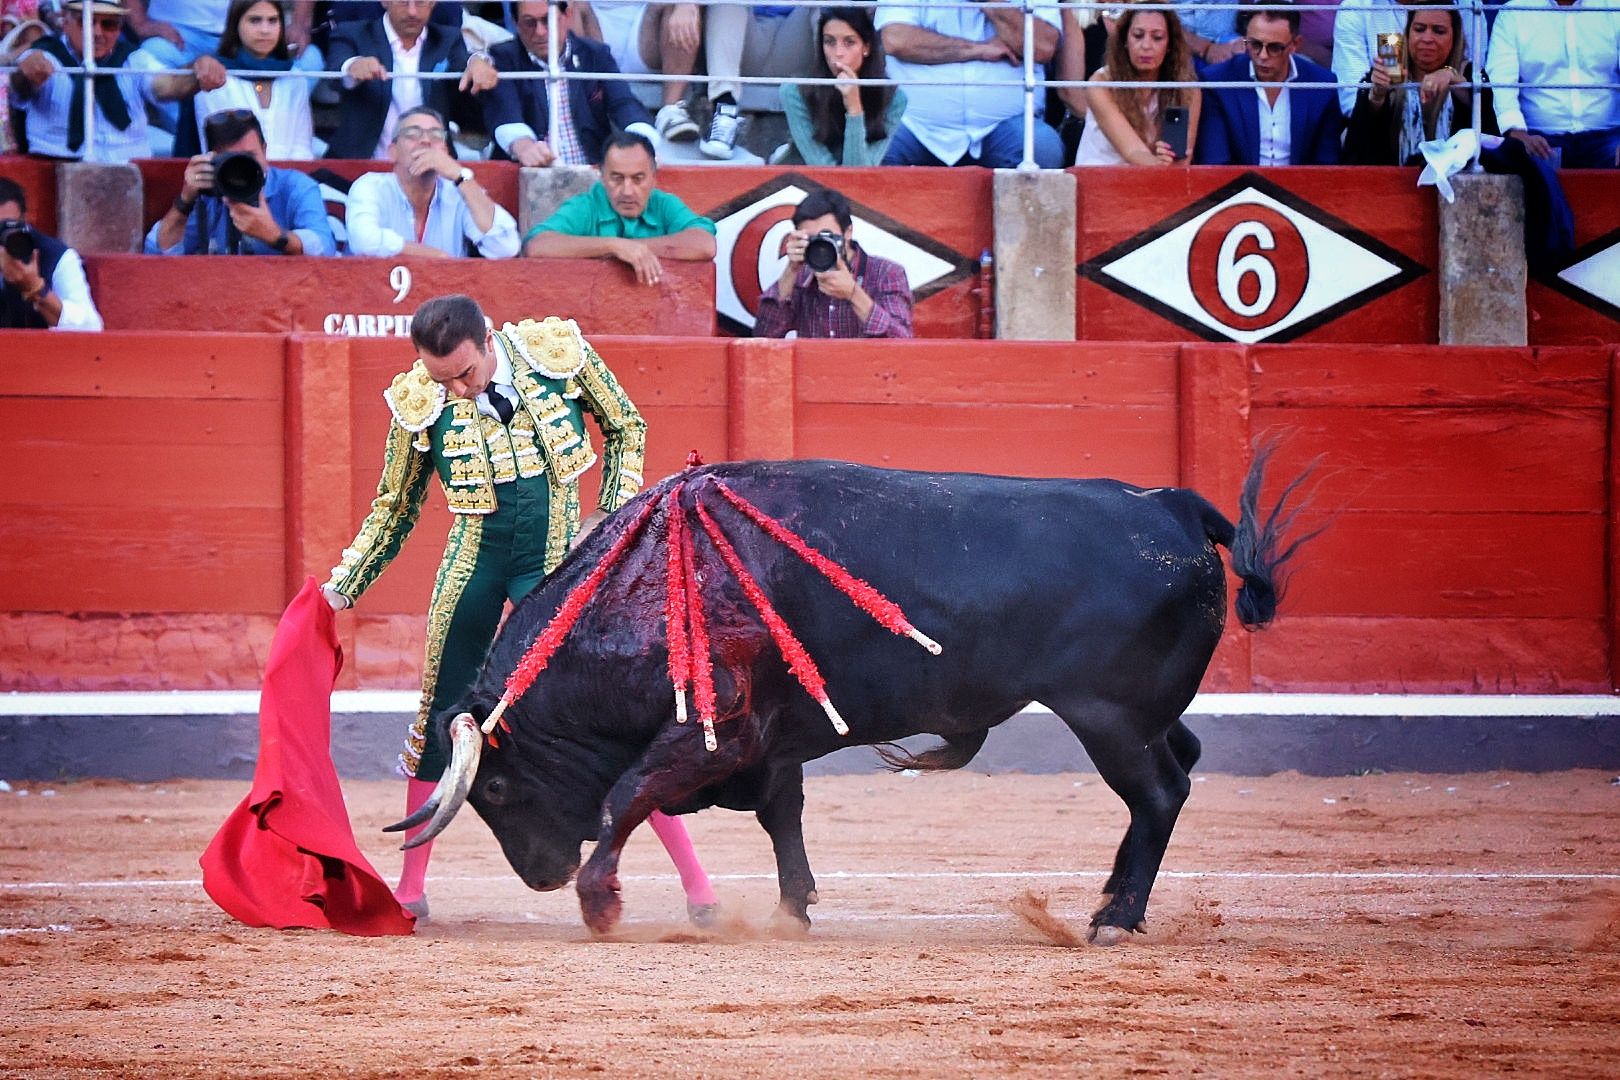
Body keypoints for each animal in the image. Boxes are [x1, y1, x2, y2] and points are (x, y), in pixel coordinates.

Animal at [392, 453, 1315, 939]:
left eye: (496, 785)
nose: (542, 875)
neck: (643, 588)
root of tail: (1175, 507)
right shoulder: (769, 739)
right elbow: (781, 815)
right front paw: (794, 909)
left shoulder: (716, 731)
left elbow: (628, 794)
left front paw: (601, 902)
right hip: (1143, 716)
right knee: (1181, 764)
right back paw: (1110, 901)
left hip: (1110, 718)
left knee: (1160, 792)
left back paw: (1118, 915)